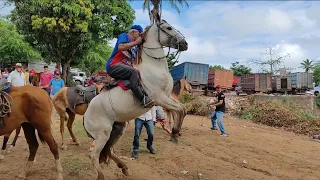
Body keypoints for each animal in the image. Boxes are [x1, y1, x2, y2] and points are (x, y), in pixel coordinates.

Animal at [83, 13, 188, 180]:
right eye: (168, 28)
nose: (185, 43)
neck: (154, 67)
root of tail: (86, 116)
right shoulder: (159, 98)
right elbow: (180, 110)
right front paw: (174, 133)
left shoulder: (166, 98)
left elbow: (183, 109)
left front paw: (175, 134)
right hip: (102, 135)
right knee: (94, 154)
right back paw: (101, 175)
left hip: (116, 130)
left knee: (108, 151)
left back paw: (124, 168)